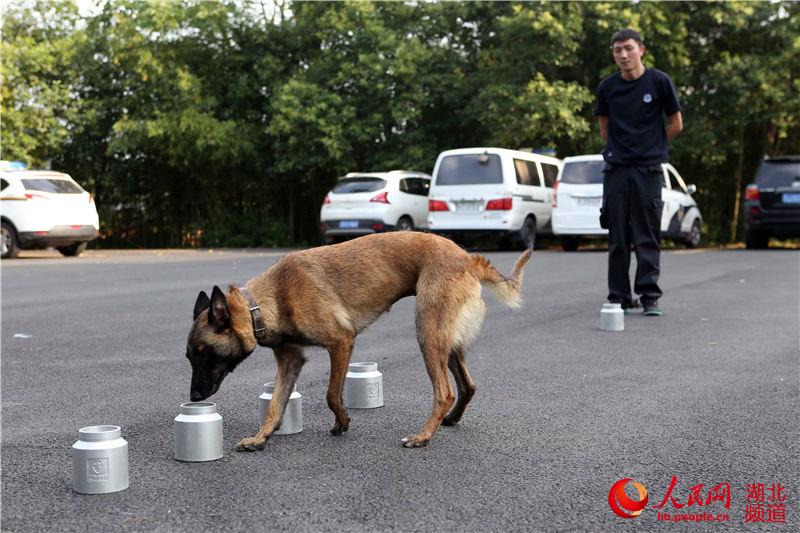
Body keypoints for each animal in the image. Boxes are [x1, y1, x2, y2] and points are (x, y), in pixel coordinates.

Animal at [187, 232, 532, 448]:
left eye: (204, 353)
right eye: (190, 357)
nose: (193, 397)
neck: (265, 301)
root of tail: (467, 257)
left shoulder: (341, 342)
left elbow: (330, 394)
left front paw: (342, 422)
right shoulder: (290, 361)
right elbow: (275, 404)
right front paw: (261, 437)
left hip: (427, 333)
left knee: (444, 392)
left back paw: (422, 436)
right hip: (447, 339)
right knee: (468, 386)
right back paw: (450, 420)